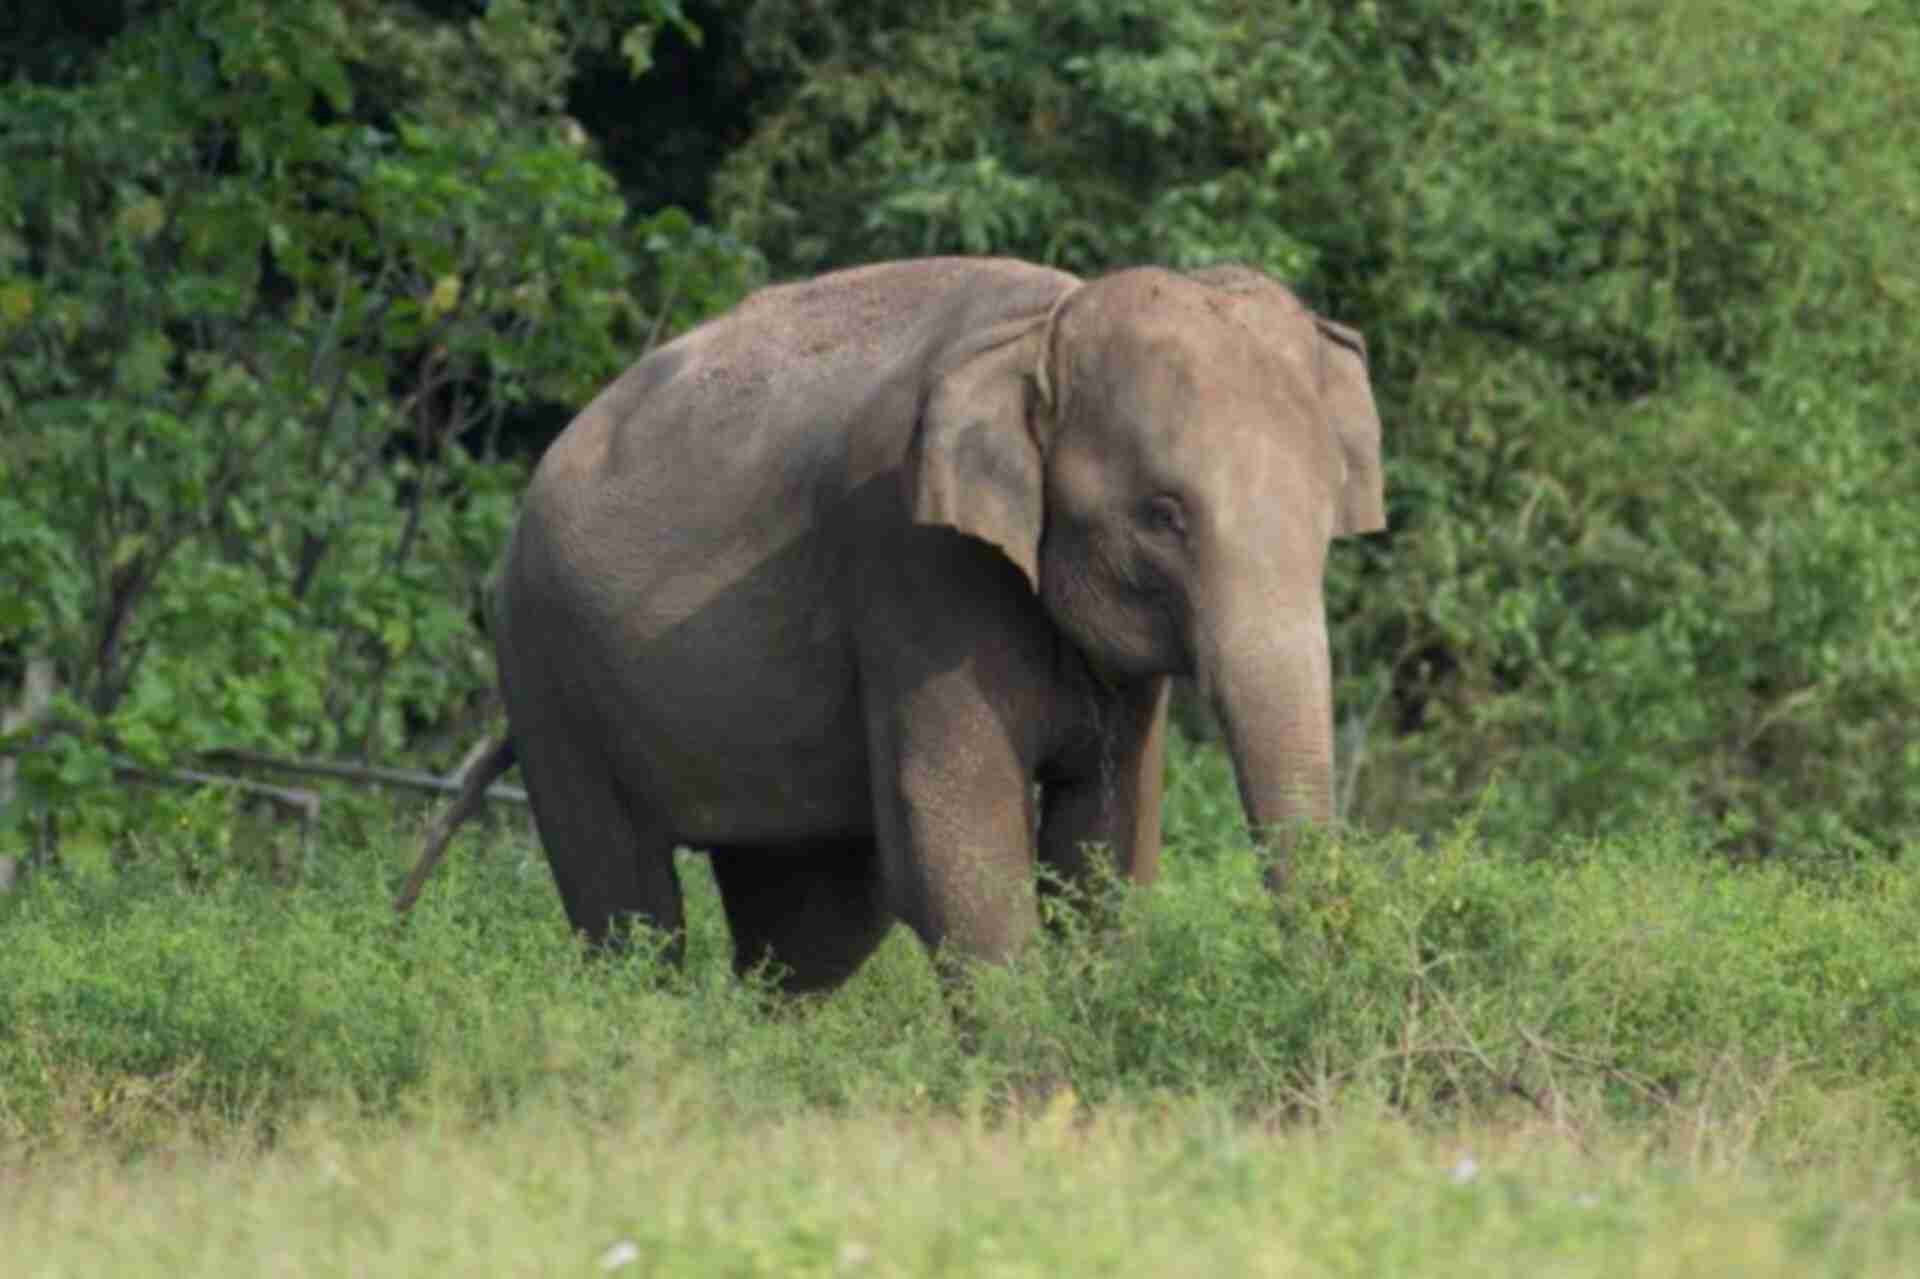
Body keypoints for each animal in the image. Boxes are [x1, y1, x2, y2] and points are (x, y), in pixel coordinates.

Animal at [396, 256, 1385, 994]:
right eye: (1163, 514)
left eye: (1325, 514)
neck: (1043, 325)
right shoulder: (913, 568)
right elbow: (958, 844)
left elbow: (1103, 848)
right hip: (547, 670)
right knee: (629, 914)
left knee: (809, 921)